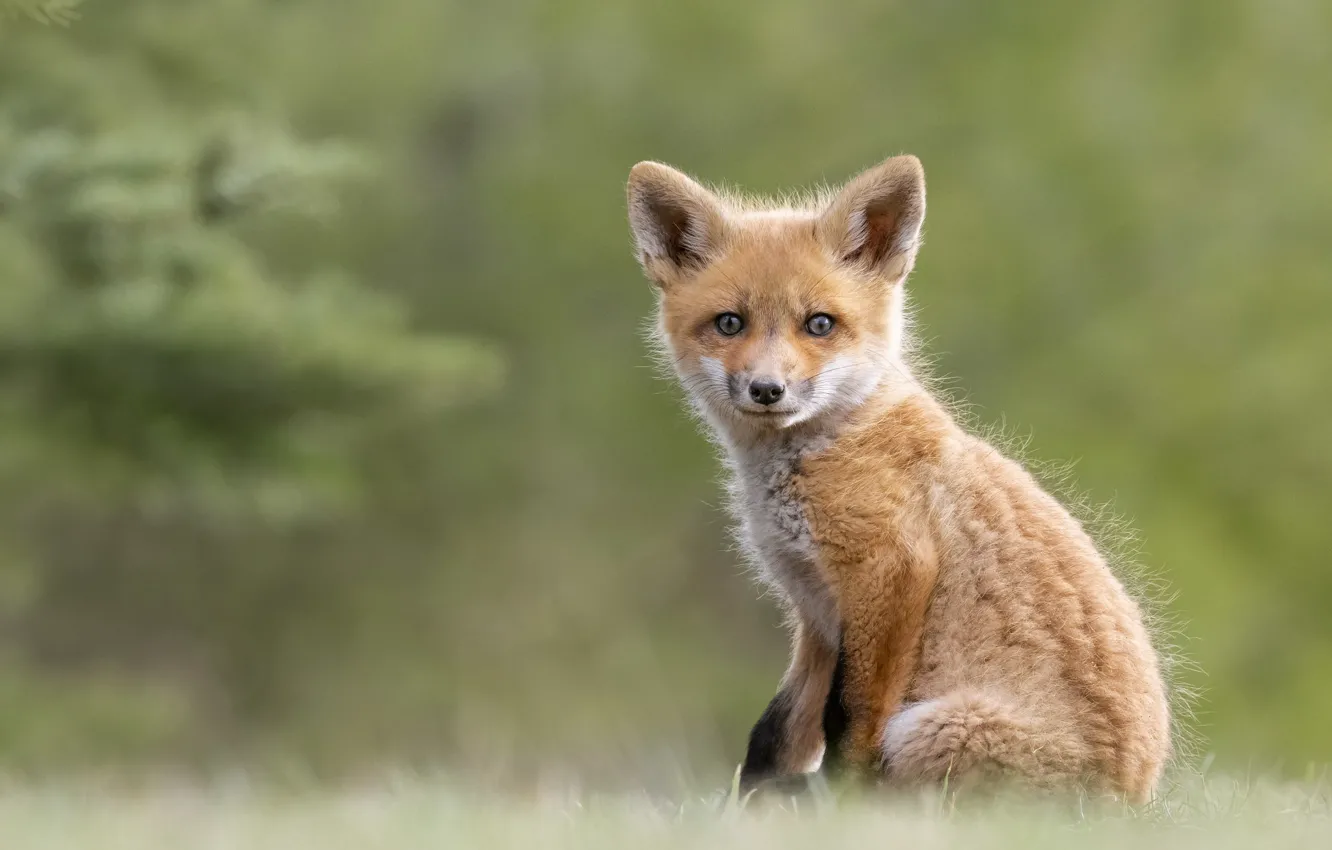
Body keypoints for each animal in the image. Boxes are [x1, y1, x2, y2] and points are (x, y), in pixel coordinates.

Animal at [624, 154, 1175, 803]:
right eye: (730, 323)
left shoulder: (888, 569)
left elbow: (850, 720)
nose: (767, 389)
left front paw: (840, 805)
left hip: (931, 727)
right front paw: (746, 804)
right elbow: (778, 729)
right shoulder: (818, 609)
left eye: (819, 324)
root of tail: (1133, 797)